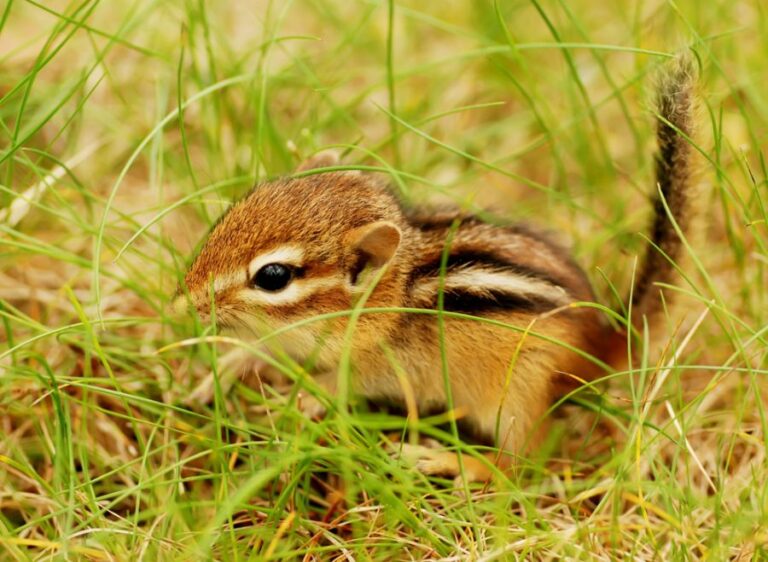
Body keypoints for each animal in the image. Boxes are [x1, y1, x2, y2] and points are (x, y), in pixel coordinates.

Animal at [175, 57, 698, 482]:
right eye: (239, 208)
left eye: (273, 277)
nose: (185, 301)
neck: (392, 297)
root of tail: (607, 340)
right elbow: (261, 350)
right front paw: (221, 372)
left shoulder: (384, 368)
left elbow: (337, 385)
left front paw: (293, 400)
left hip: (519, 393)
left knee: (521, 464)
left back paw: (445, 460)